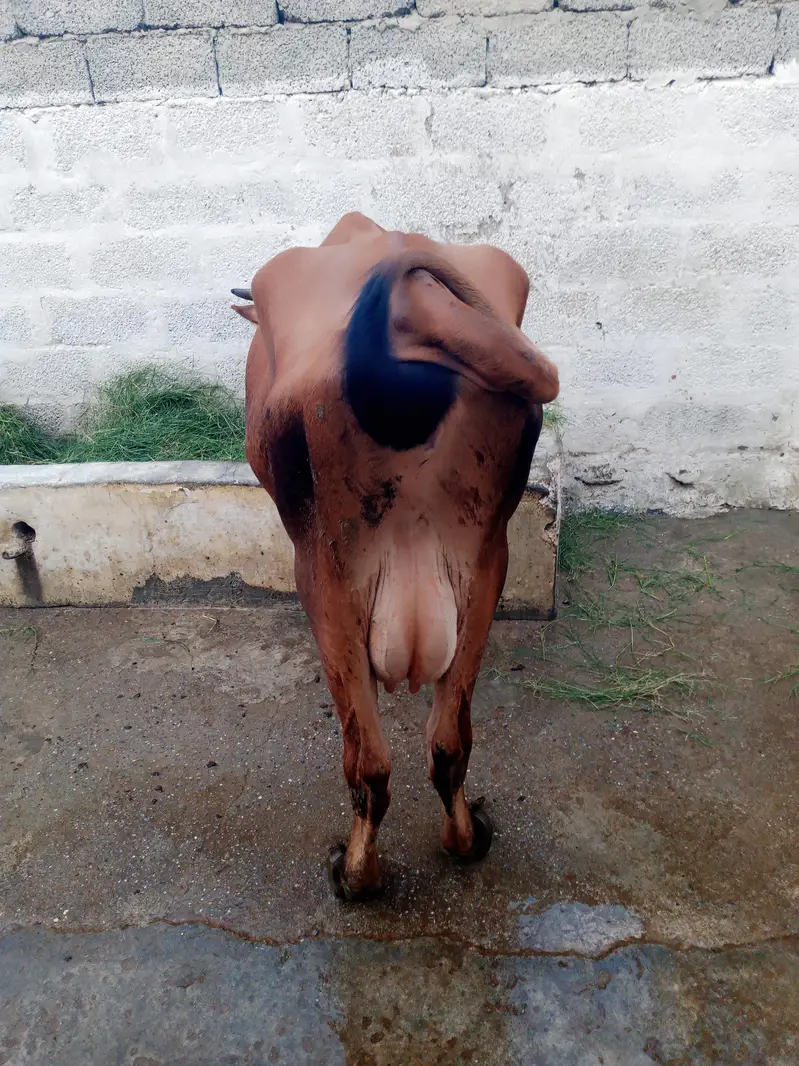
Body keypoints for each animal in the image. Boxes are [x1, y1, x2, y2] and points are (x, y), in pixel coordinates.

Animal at [232, 212, 559, 901]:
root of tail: (416, 302)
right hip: (485, 562)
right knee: (448, 743)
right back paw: (466, 841)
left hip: (322, 574)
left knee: (369, 765)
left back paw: (357, 876)